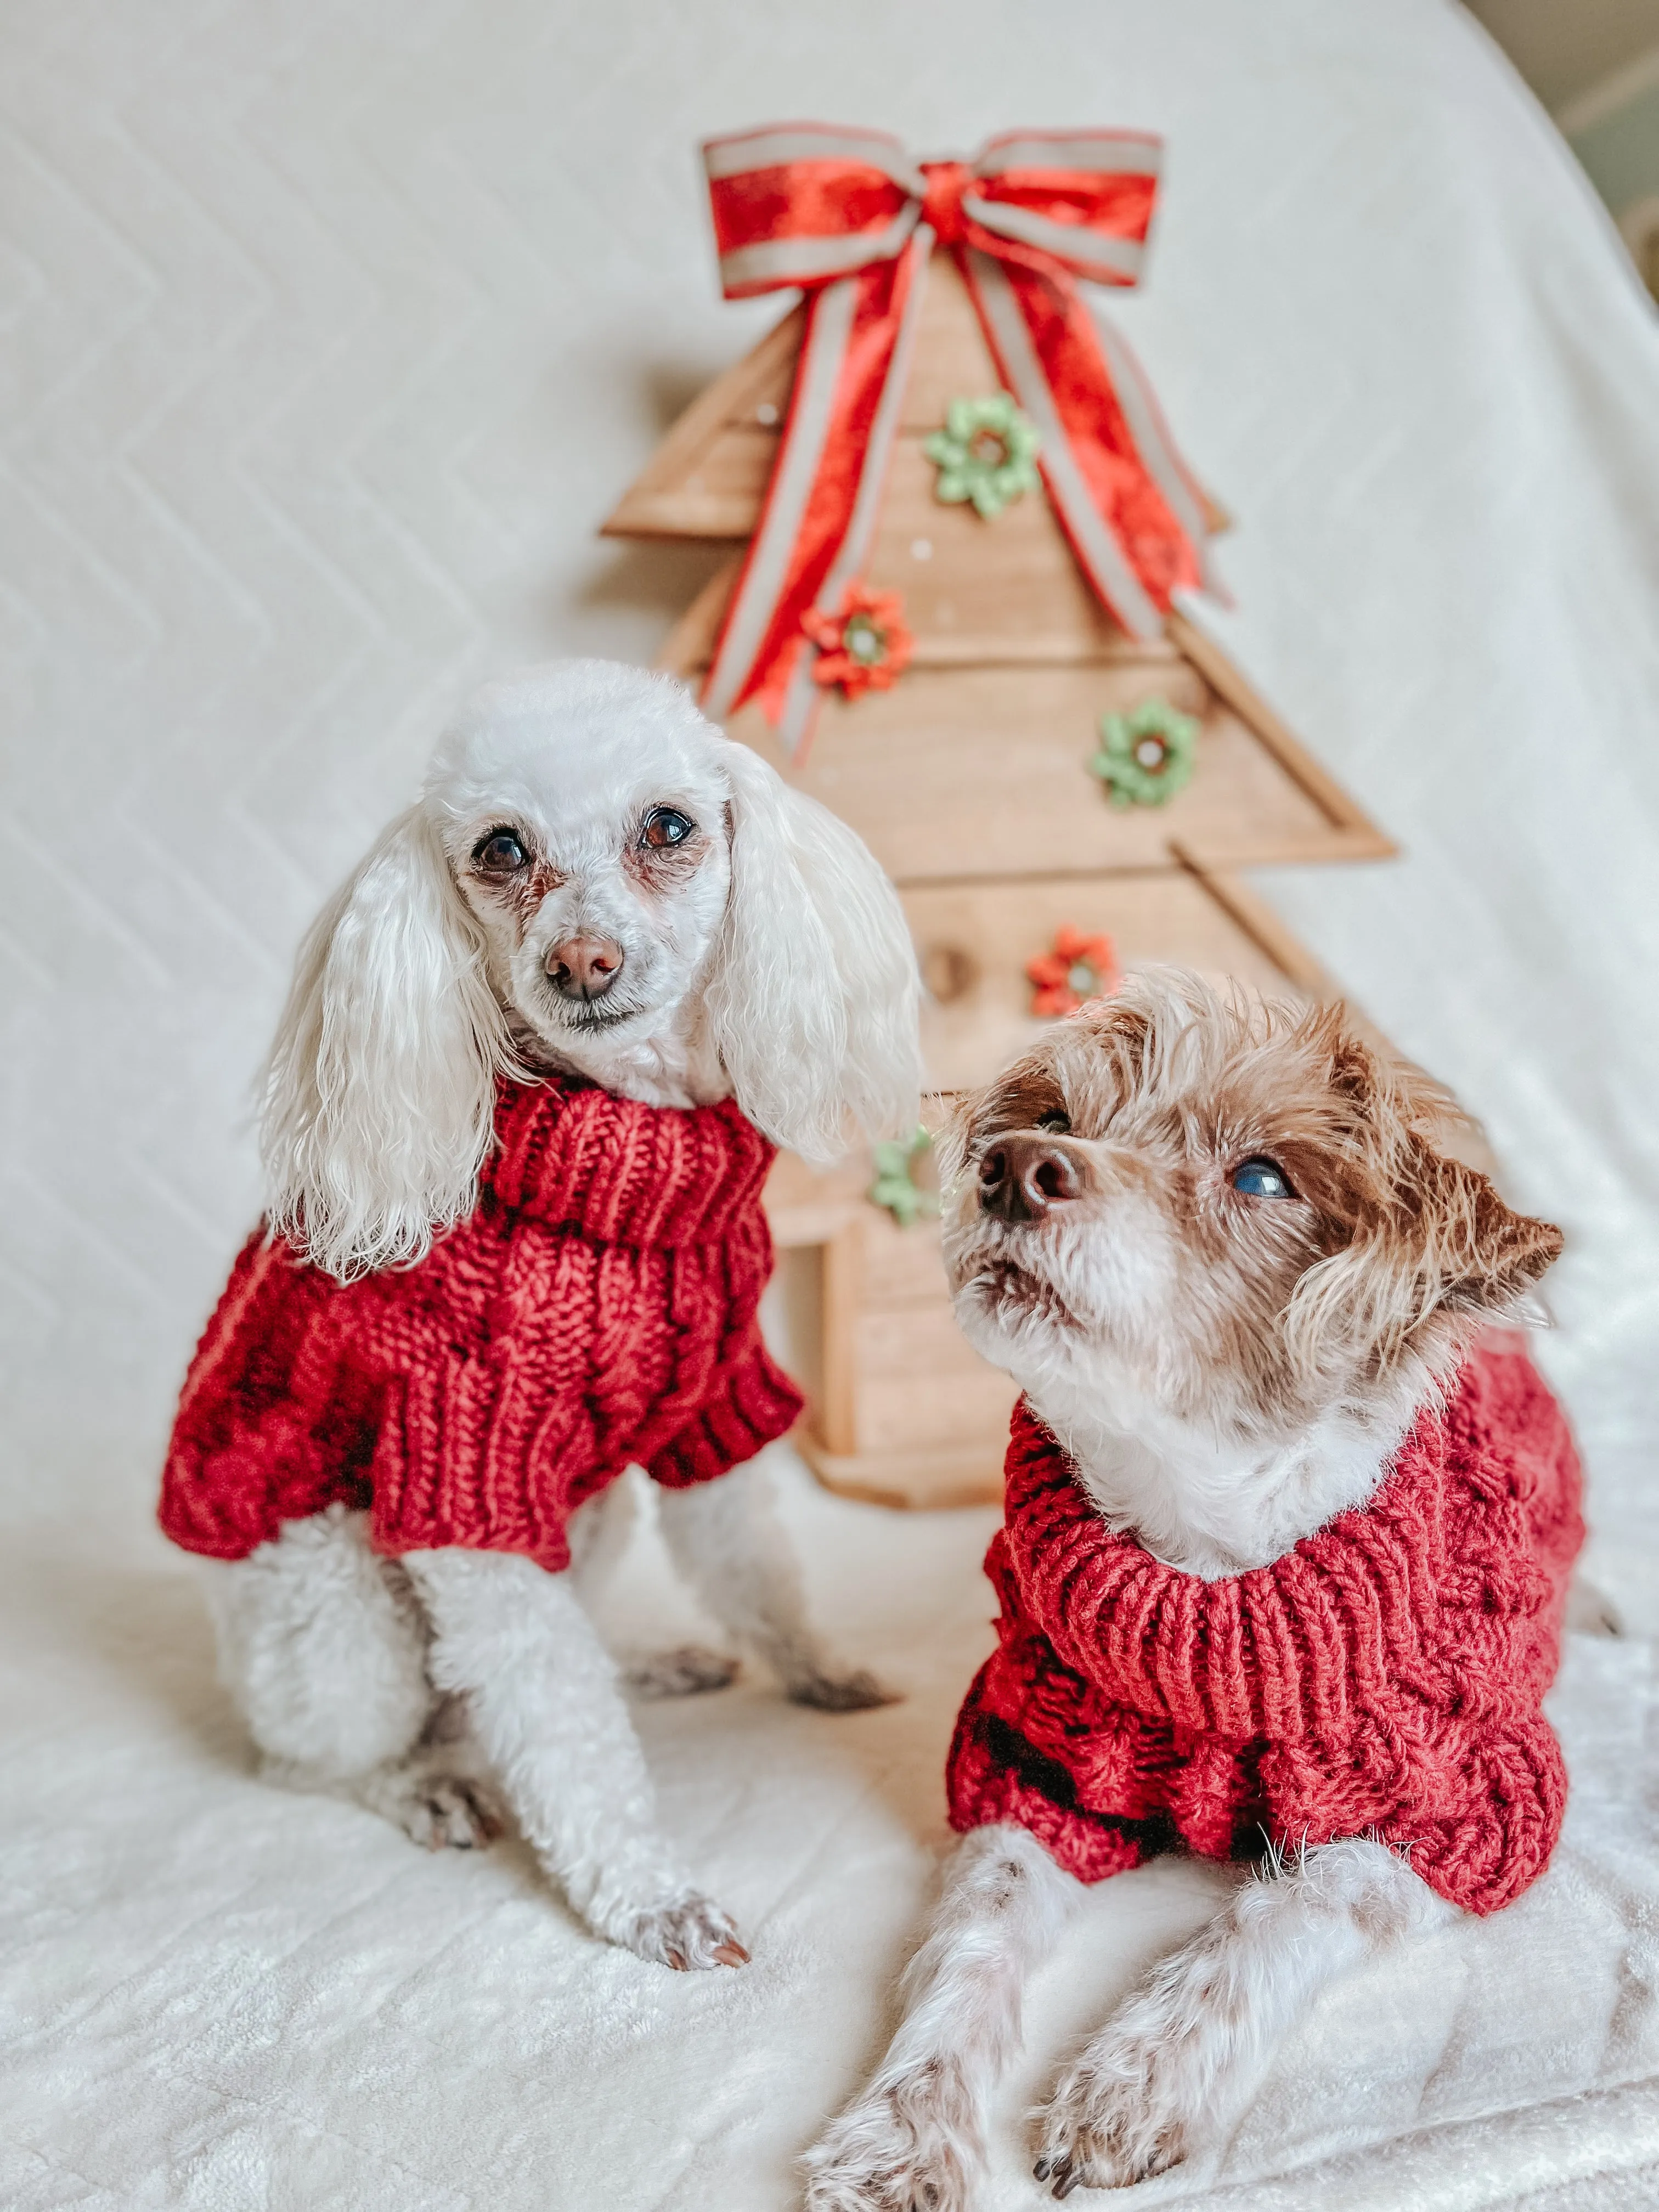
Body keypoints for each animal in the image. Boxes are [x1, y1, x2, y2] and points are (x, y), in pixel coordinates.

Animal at [814, 973, 1593, 2212]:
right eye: (1058, 1117)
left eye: (1262, 1179)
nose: (1016, 1166)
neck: (1206, 1557)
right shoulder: (1037, 1768)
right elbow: (971, 1939)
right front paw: (898, 2131)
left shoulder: (1476, 1803)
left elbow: (1301, 1898)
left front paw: (1140, 2075)